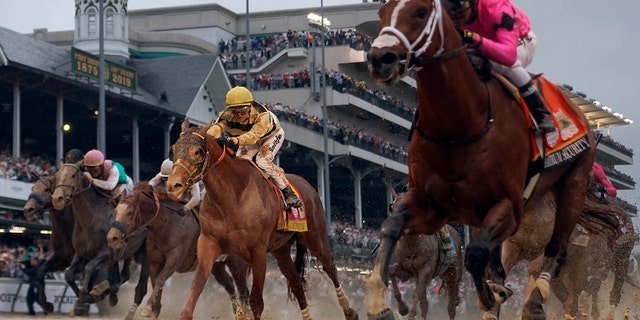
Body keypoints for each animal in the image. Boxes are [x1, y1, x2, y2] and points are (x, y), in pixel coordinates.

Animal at [51, 161, 121, 316]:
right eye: (56, 176)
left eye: (73, 175)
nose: (57, 199)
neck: (91, 219)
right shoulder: (81, 253)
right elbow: (68, 274)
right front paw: (81, 302)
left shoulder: (106, 252)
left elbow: (90, 267)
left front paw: (87, 296)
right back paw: (111, 294)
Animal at [107, 181, 250, 318]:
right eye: (115, 211)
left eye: (129, 212)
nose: (112, 238)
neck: (166, 224)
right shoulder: (155, 261)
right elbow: (156, 282)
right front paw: (154, 310)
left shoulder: (175, 258)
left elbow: (160, 279)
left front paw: (147, 308)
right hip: (216, 265)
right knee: (229, 284)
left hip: (237, 263)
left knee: (243, 289)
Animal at [165, 120, 358, 320]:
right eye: (173, 149)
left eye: (197, 151)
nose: (173, 186)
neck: (233, 195)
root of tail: (307, 185)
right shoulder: (209, 242)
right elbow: (198, 283)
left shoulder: (257, 252)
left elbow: (256, 301)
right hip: (281, 250)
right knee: (296, 283)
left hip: (315, 237)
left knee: (330, 266)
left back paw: (349, 311)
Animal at [368, 1, 596, 318]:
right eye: (382, 13)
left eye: (421, 12)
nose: (380, 58)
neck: (459, 126)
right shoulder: (431, 206)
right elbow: (391, 227)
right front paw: (378, 302)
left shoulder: (509, 208)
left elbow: (475, 254)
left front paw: (491, 296)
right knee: (497, 263)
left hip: (574, 184)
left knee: (556, 251)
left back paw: (534, 302)